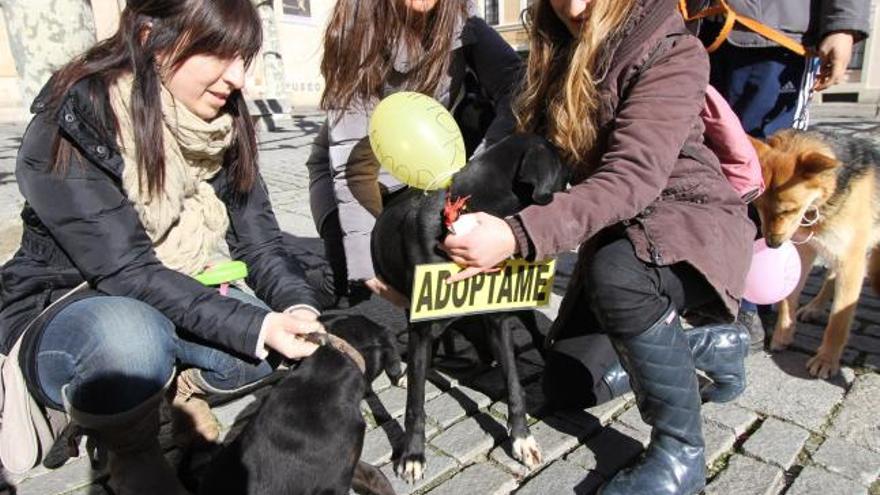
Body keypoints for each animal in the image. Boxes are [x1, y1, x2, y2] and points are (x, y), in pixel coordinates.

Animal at [372, 134, 572, 482]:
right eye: (561, 163)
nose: (578, 173)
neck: (475, 211)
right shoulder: (421, 327)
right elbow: (415, 402)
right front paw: (412, 454)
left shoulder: (497, 320)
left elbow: (514, 384)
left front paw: (522, 438)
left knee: (532, 332)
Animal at [748, 129, 880, 380]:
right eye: (757, 205)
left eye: (789, 209)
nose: (772, 244)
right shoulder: (805, 250)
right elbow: (788, 298)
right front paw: (783, 333)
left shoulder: (852, 261)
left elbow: (839, 320)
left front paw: (826, 360)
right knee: (831, 277)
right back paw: (814, 308)